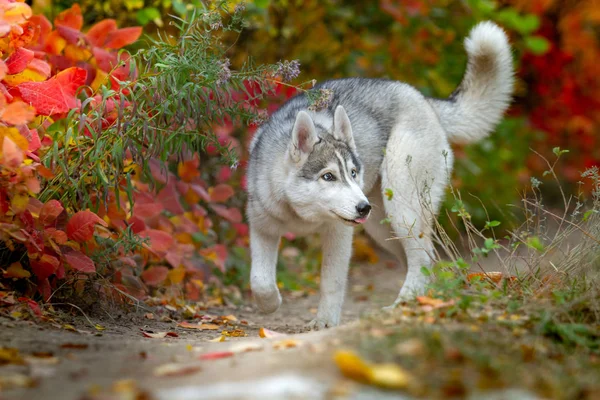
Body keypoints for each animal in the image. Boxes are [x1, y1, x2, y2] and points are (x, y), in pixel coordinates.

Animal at [246, 21, 512, 328]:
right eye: (328, 176)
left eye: (352, 173)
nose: (363, 207)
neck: (301, 216)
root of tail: (421, 98)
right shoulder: (262, 227)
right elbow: (260, 281)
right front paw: (271, 304)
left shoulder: (339, 233)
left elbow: (331, 283)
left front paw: (324, 321)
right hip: (383, 227)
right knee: (424, 260)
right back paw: (423, 300)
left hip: (401, 209)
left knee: (423, 258)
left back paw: (404, 305)